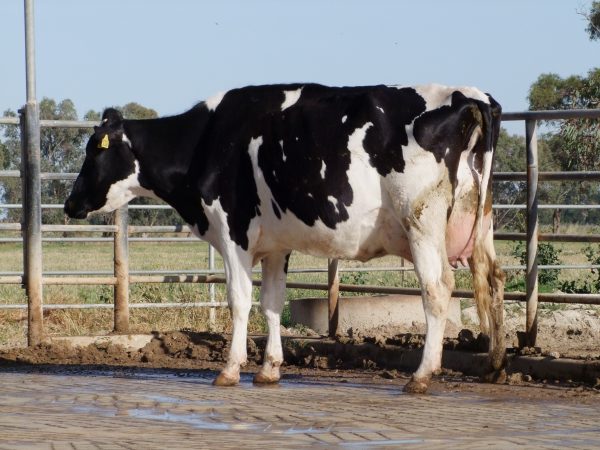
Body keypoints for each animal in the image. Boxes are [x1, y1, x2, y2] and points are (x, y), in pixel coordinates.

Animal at [64, 84, 506, 394]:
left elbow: (240, 300)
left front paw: (230, 369)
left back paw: (421, 376)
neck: (207, 140)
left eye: (93, 150)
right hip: (481, 225)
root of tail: (470, 95)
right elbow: (272, 302)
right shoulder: (276, 245)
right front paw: (269, 369)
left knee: (438, 289)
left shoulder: (233, 233)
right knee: (494, 281)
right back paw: (495, 366)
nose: (70, 203)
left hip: (421, 222)